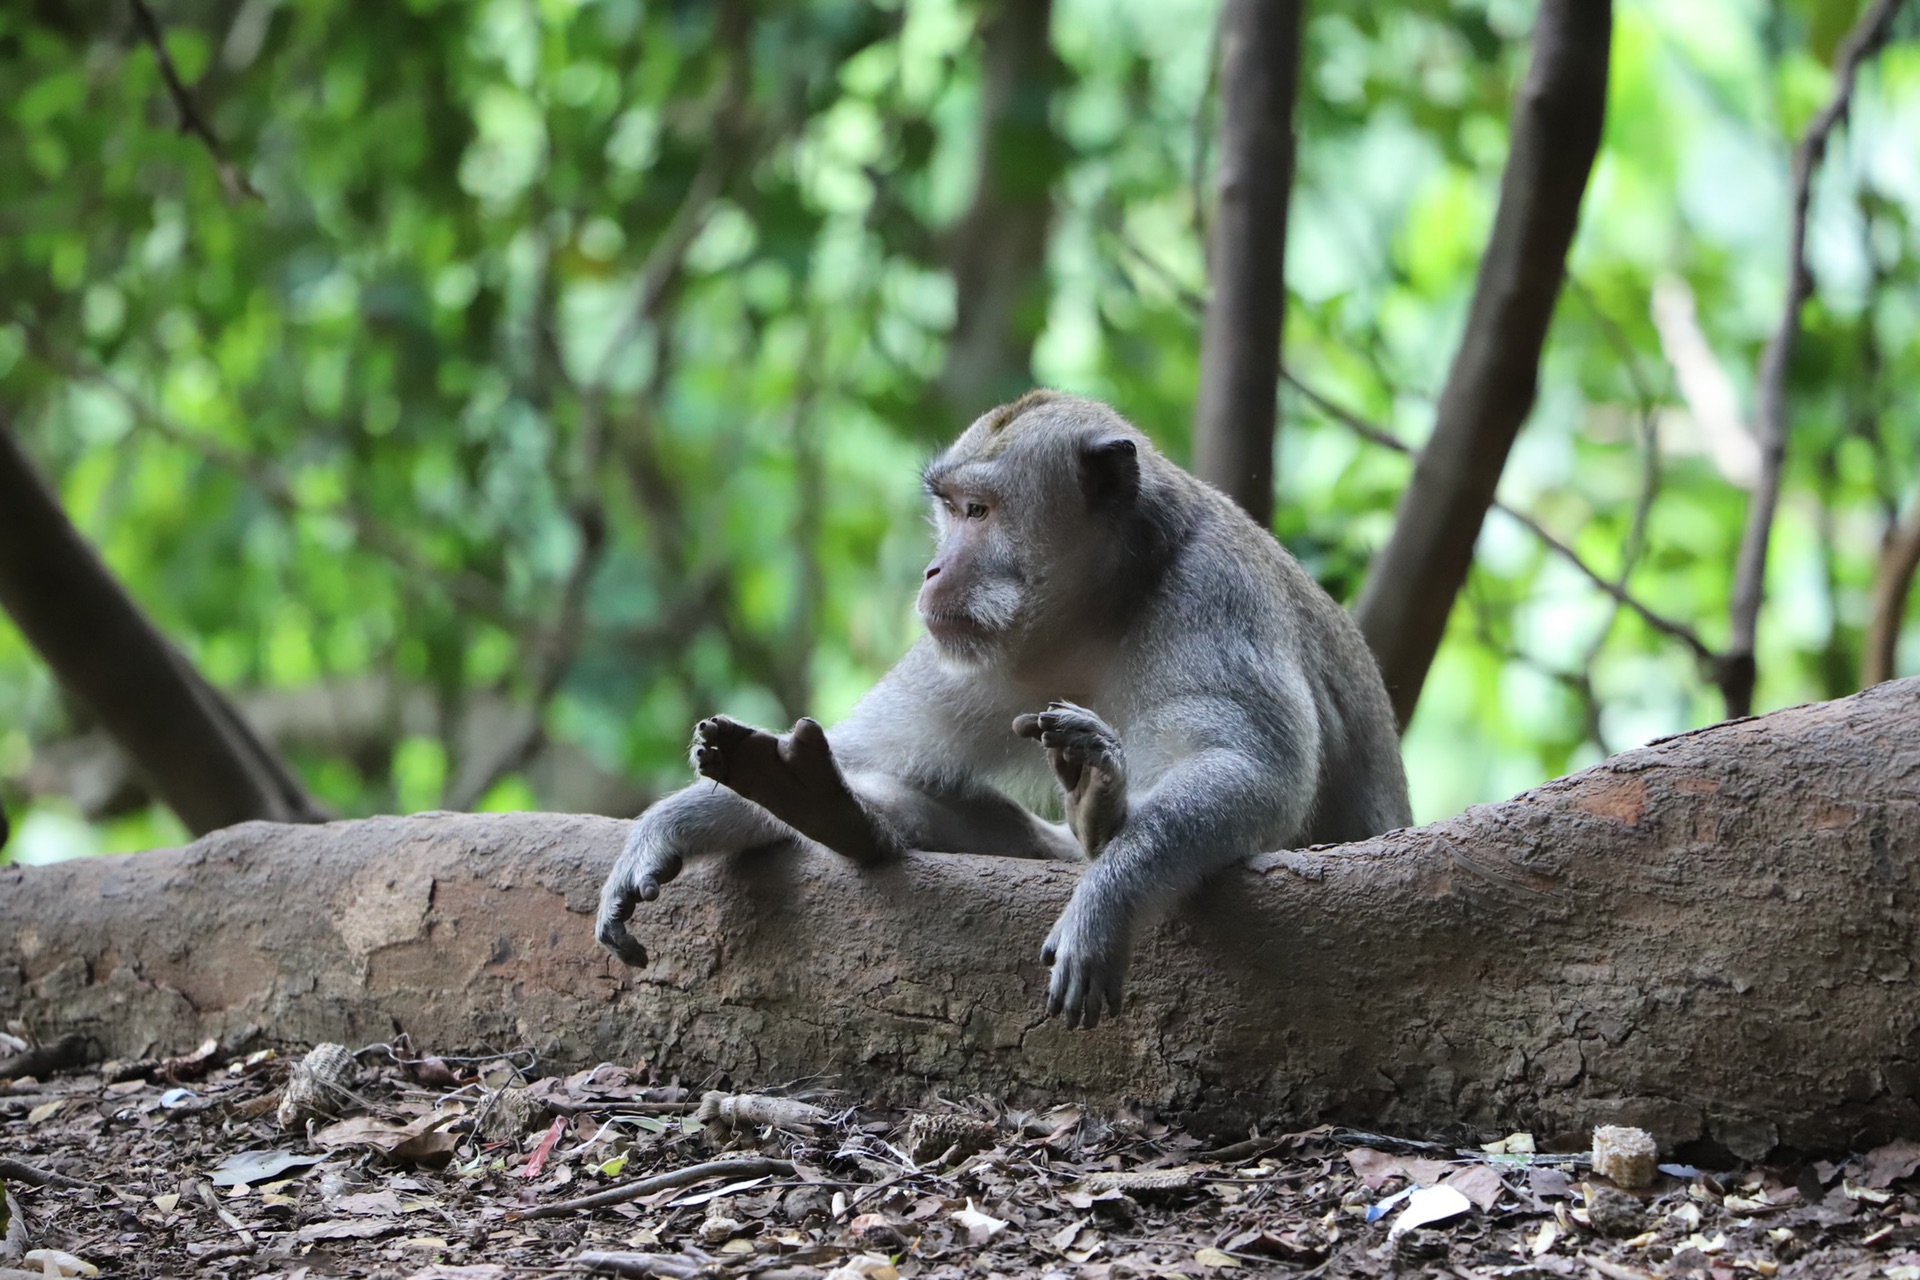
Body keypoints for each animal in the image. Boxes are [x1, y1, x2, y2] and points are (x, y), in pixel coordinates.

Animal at [599, 391, 1413, 1028]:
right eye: (949, 511)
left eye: (978, 511)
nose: (933, 570)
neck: (1106, 606)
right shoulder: (965, 653)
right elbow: (865, 749)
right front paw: (684, 819)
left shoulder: (1216, 600)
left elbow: (1254, 770)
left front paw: (1109, 895)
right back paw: (830, 809)